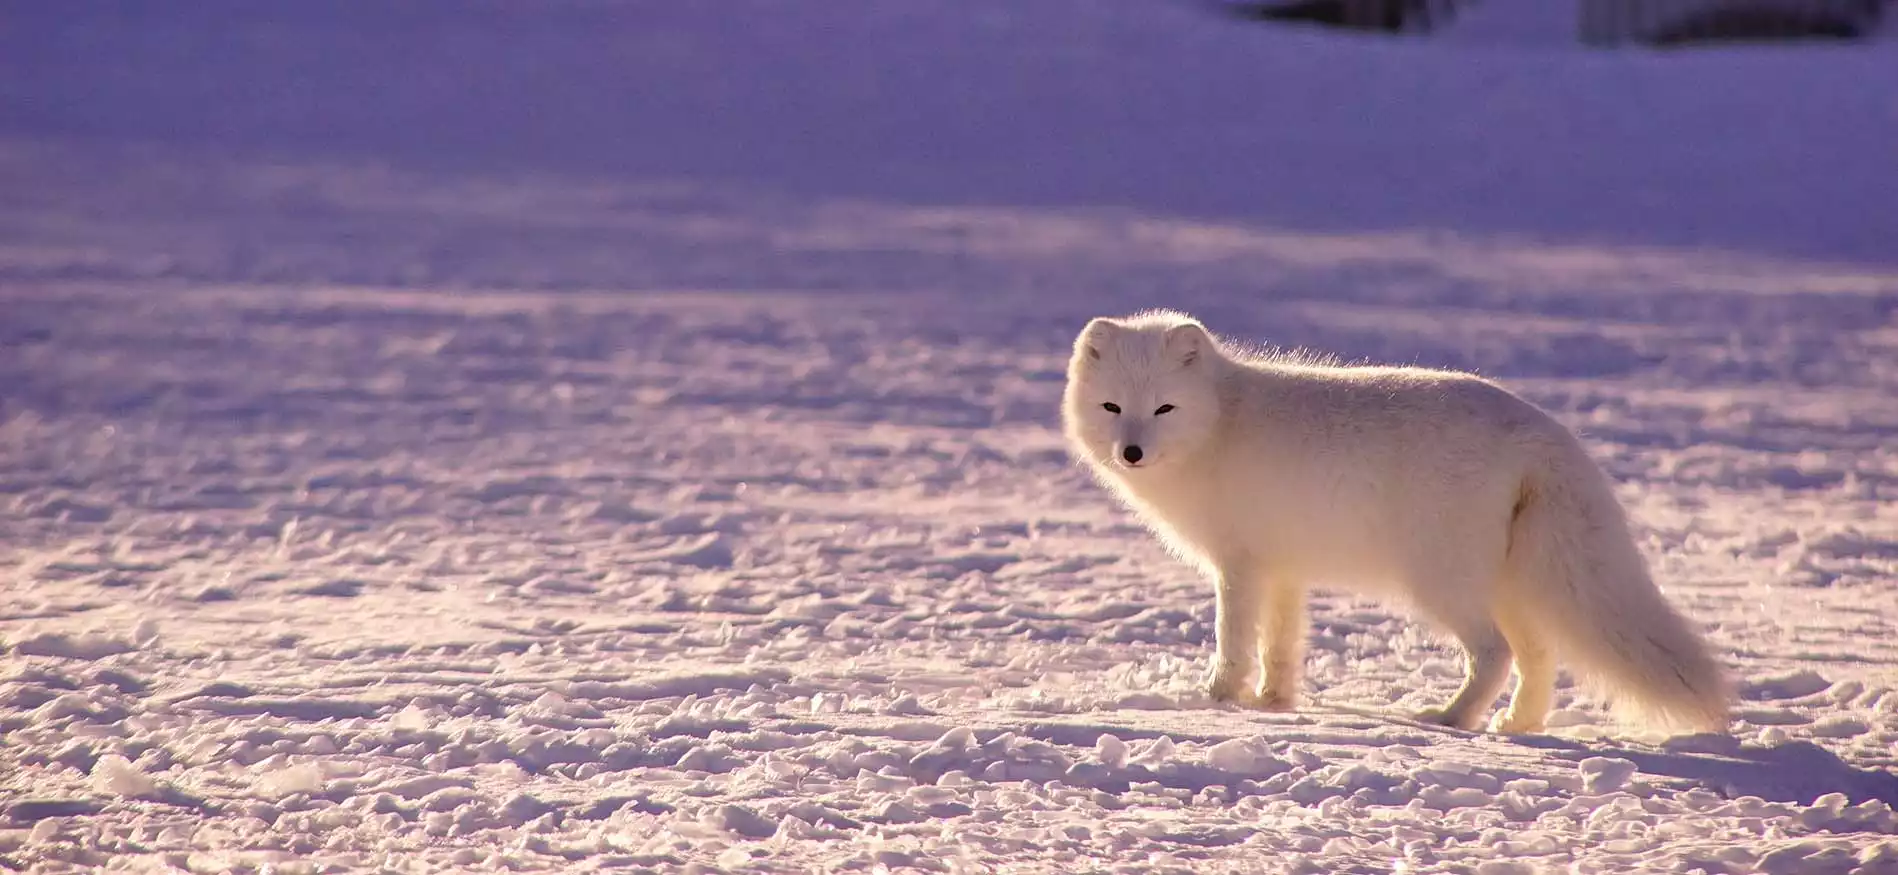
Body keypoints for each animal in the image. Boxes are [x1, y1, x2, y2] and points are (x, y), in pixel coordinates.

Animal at [1062, 311, 1730, 732]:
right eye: (1113, 407)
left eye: (1164, 408)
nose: (1131, 452)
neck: (1220, 424)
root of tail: (1544, 431)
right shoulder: (1284, 569)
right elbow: (1282, 644)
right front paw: (1275, 703)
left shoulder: (1240, 565)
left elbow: (1233, 640)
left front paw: (1218, 699)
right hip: (1511, 584)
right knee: (1539, 655)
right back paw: (1517, 725)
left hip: (1442, 583)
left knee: (1495, 653)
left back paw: (1452, 718)